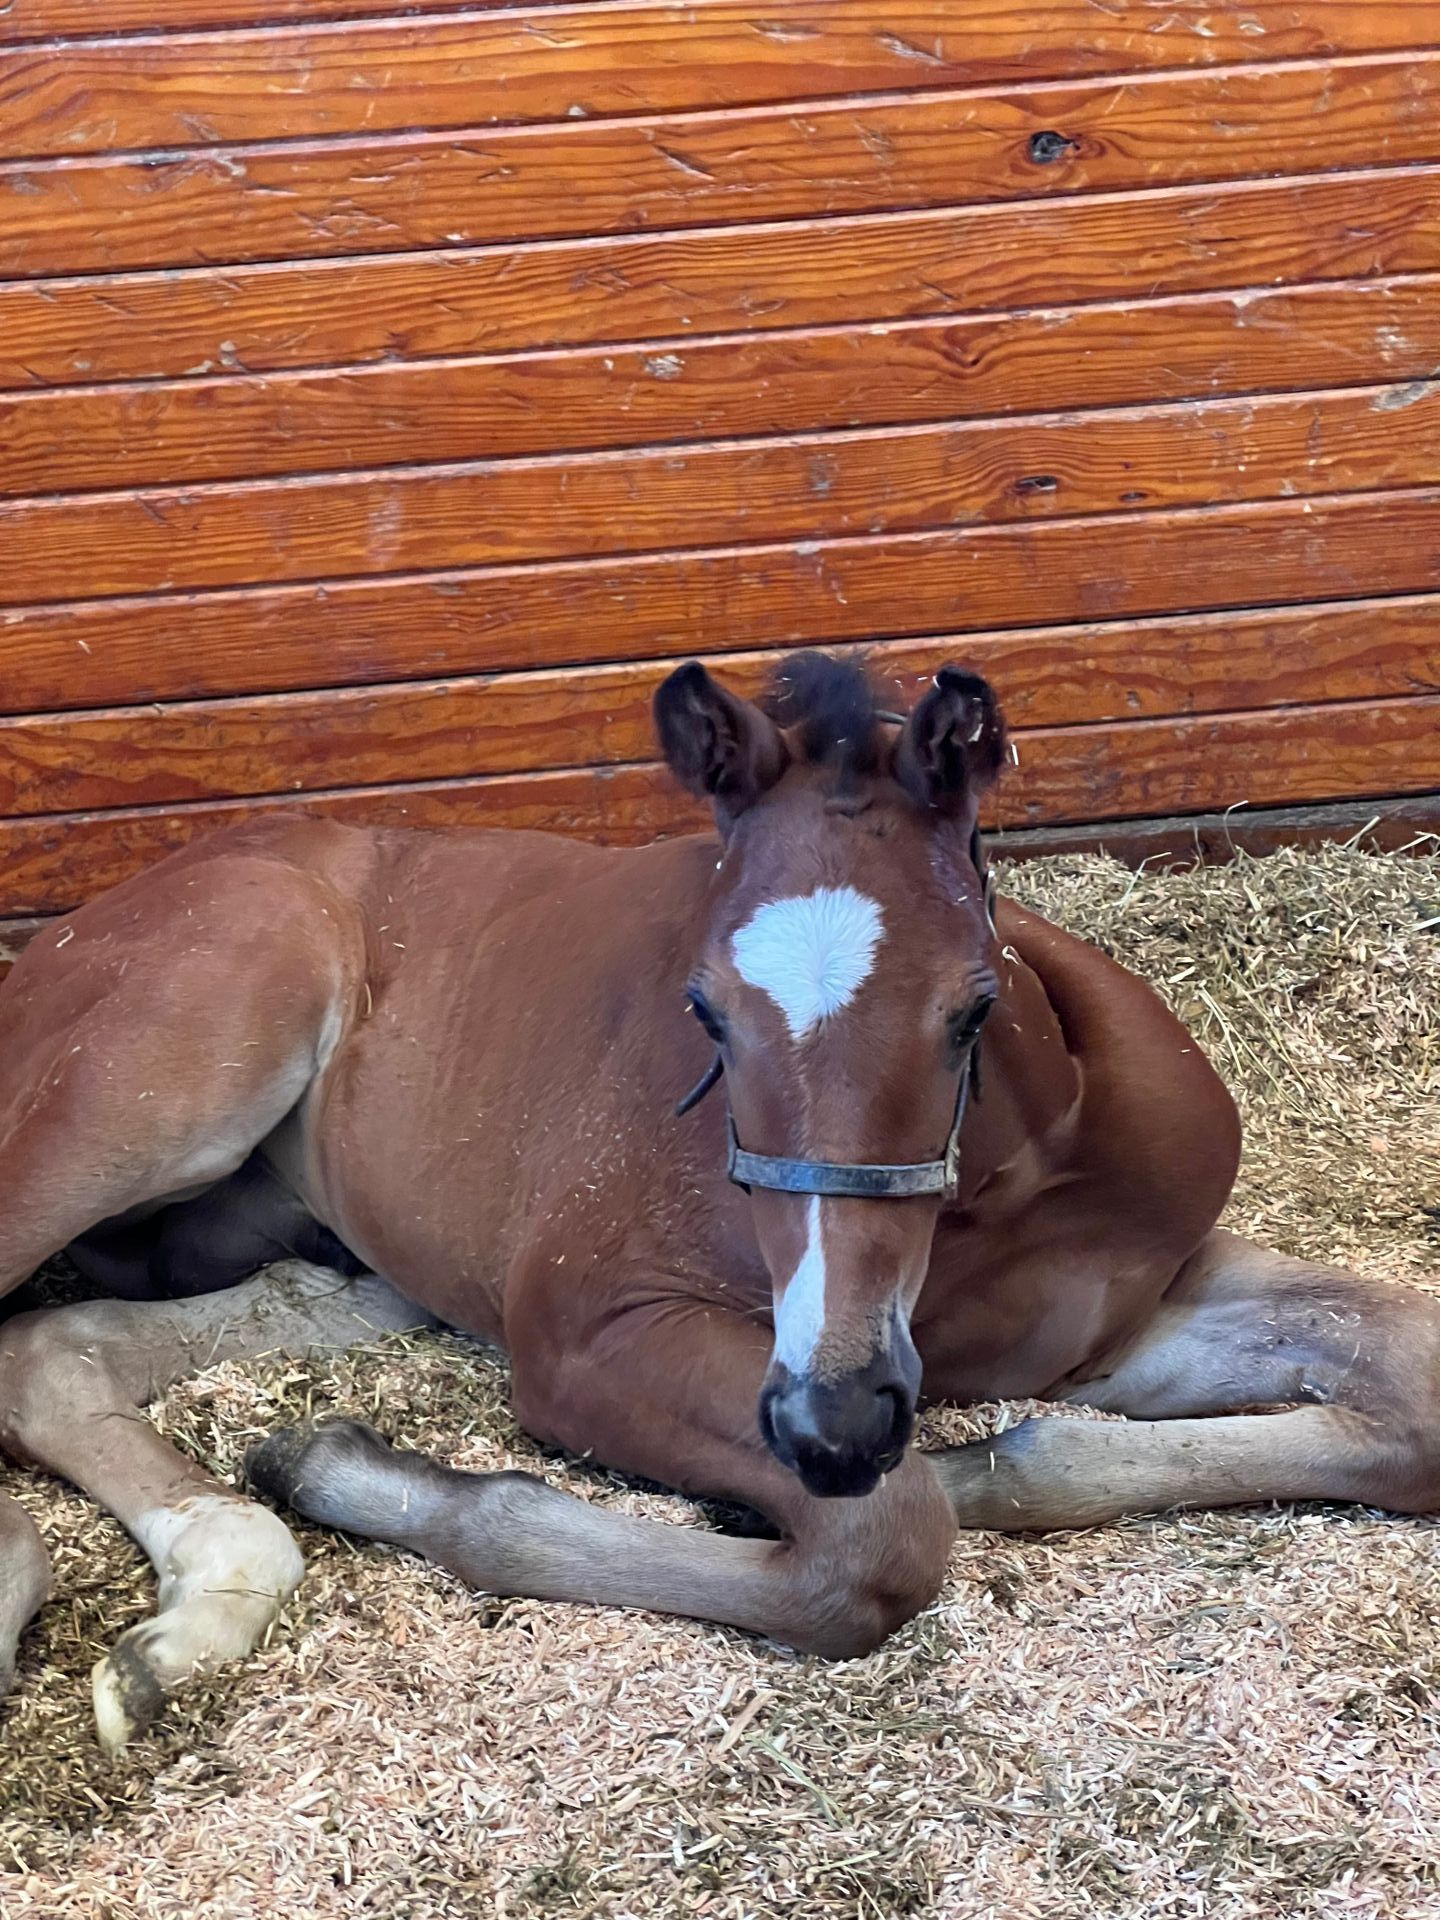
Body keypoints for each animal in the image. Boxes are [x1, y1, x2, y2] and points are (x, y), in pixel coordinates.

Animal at [1, 654, 1436, 1754]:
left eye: (972, 1005)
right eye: (704, 1010)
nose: (833, 1423)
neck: (1000, 1197)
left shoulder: (1124, 1315)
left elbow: (1407, 1380)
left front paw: (984, 1465)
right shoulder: (588, 1337)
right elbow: (876, 1549)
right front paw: (363, 1470)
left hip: (330, 1257)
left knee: (59, 1348)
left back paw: (200, 1605)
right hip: (150, 1090)